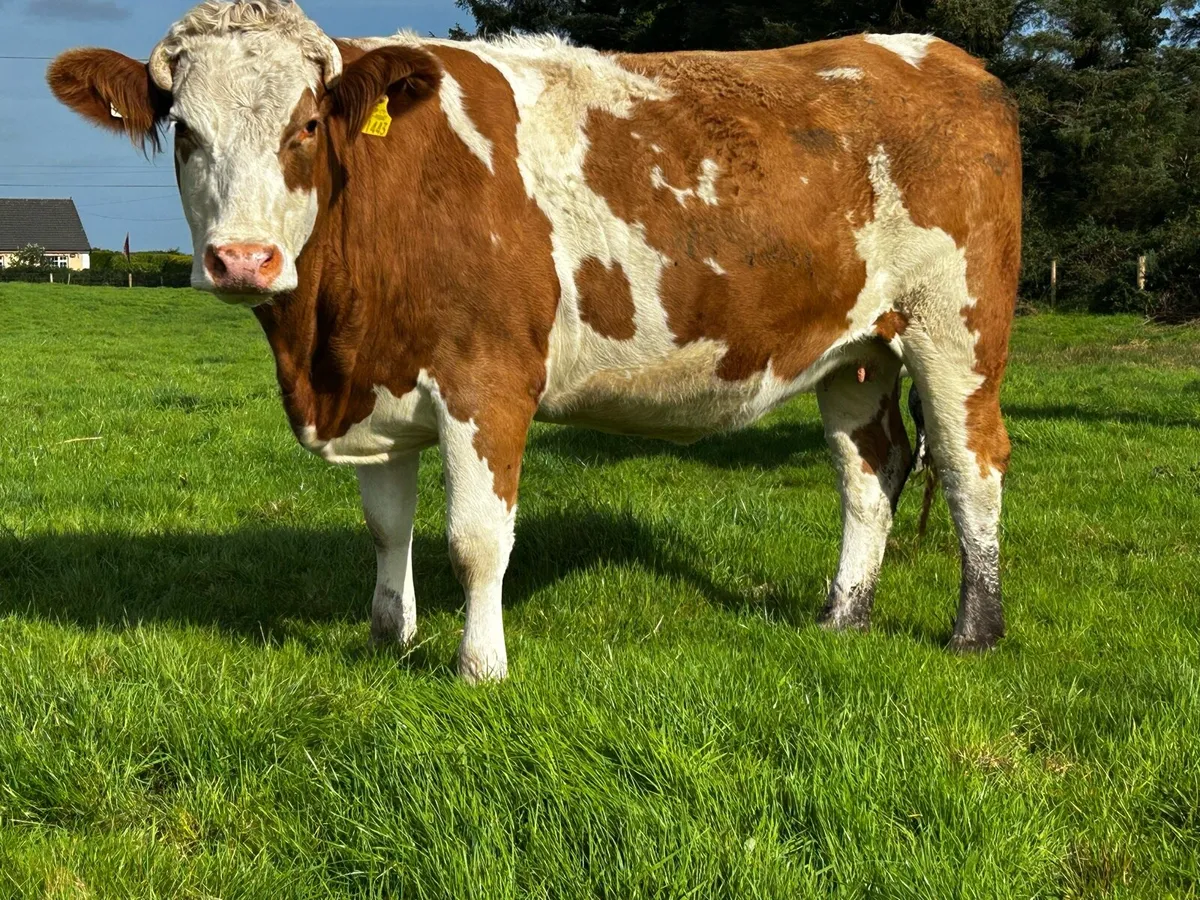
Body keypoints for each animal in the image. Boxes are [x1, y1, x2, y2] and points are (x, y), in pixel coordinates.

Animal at [48, 0, 1021, 682]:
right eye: (184, 130)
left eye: (307, 125)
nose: (243, 259)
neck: (326, 349)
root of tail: (938, 53)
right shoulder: (375, 387)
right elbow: (386, 527)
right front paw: (389, 639)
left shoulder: (488, 381)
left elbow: (476, 539)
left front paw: (480, 668)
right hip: (857, 349)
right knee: (870, 470)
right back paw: (842, 617)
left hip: (957, 328)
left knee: (971, 462)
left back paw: (974, 633)